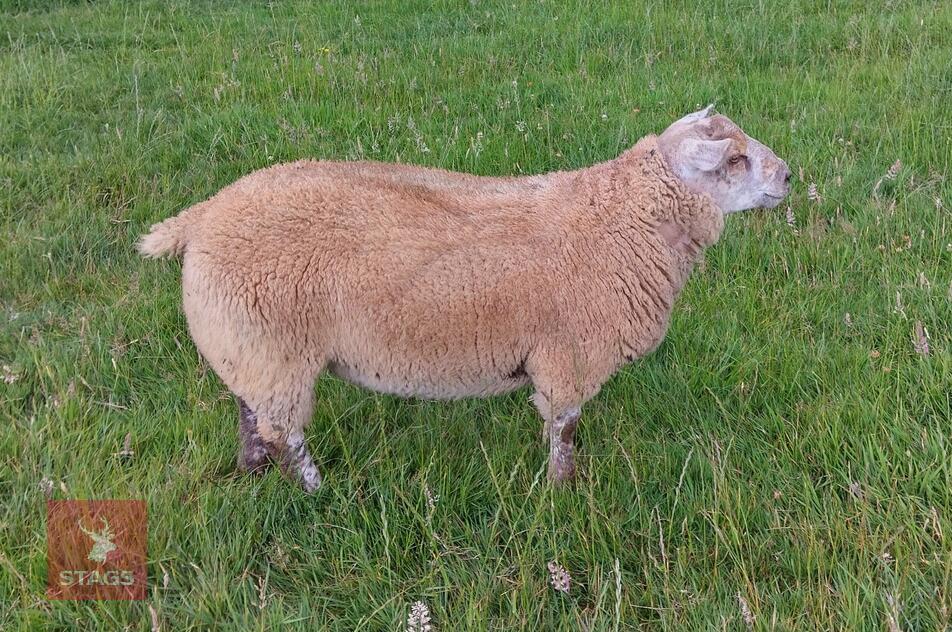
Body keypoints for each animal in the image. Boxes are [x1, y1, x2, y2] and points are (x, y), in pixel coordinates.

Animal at [139, 106, 790, 491]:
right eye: (734, 160)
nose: (787, 177)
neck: (619, 222)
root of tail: (201, 219)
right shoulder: (568, 359)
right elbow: (565, 431)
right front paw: (562, 494)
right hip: (274, 351)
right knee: (285, 435)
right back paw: (317, 492)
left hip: (248, 348)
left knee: (251, 416)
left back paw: (253, 472)